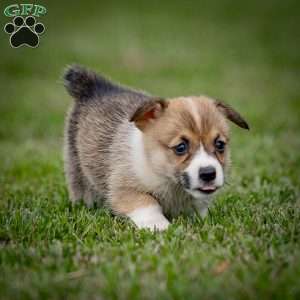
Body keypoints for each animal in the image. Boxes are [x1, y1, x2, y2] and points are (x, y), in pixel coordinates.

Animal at [63, 65, 248, 230]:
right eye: (180, 147)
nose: (209, 174)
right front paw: (161, 227)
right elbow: (148, 205)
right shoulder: (124, 188)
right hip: (76, 167)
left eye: (220, 144)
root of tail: (95, 87)